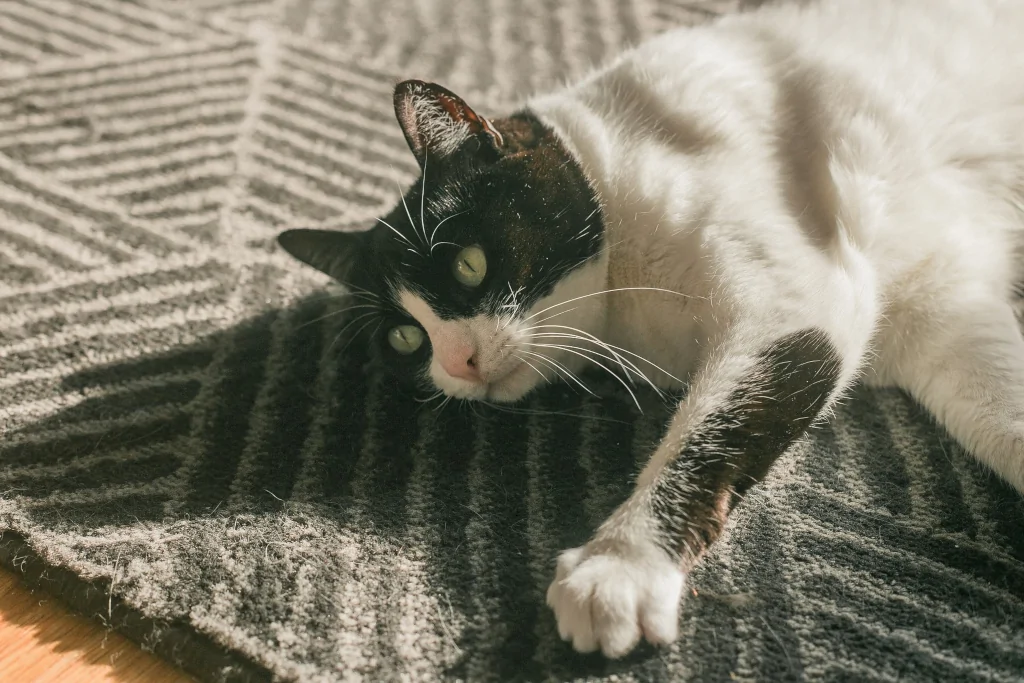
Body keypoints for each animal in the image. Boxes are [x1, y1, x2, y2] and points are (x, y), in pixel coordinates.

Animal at [276, 0, 1024, 663]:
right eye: (407, 339)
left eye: (469, 264)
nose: (458, 362)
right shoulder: (939, 313)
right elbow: (1004, 417)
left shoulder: (796, 299)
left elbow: (704, 435)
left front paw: (621, 563)